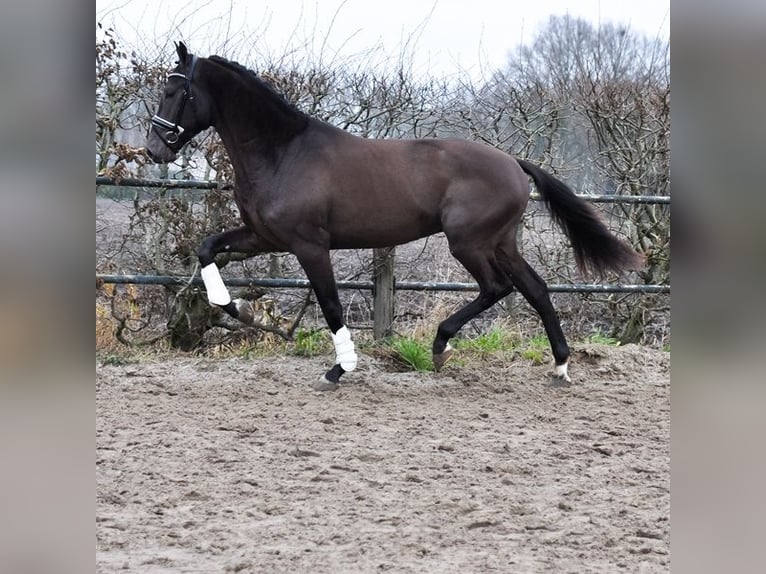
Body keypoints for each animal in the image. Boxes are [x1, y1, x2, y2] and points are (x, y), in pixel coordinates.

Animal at [144, 42, 640, 390]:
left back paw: (441, 345)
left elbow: (330, 303)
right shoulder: (263, 236)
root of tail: (515, 163)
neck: (283, 153)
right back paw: (560, 366)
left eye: (173, 91)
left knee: (497, 287)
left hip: (468, 242)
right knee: (535, 289)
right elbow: (206, 248)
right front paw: (239, 308)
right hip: (501, 241)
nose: (153, 149)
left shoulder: (309, 244)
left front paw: (340, 368)